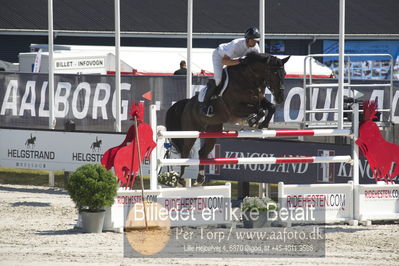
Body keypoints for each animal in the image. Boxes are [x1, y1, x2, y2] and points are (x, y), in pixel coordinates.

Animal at [166, 51, 290, 185]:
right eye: (274, 73)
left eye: (285, 73)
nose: (280, 98)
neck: (249, 79)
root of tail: (187, 103)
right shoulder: (235, 108)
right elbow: (260, 110)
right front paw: (253, 120)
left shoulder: (259, 100)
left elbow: (270, 107)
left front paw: (262, 124)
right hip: (191, 132)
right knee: (185, 151)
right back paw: (181, 179)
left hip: (213, 131)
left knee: (202, 152)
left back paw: (200, 179)